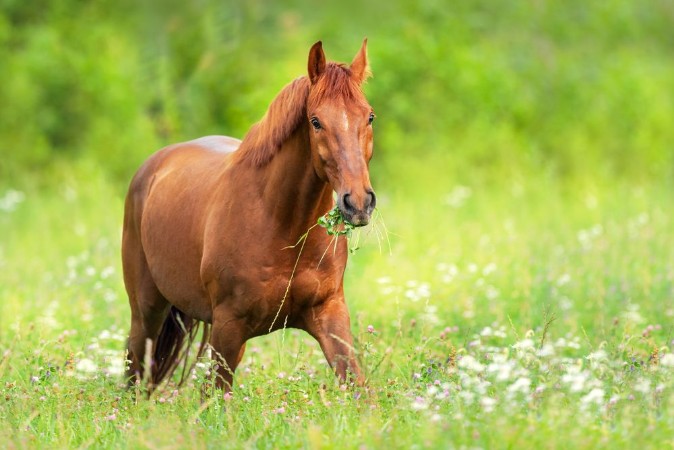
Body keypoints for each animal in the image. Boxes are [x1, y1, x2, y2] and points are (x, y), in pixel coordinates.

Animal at [122, 40, 377, 393]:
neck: (281, 226)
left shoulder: (330, 315)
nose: (358, 203)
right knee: (136, 372)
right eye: (316, 121)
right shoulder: (228, 329)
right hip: (147, 312)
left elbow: (358, 388)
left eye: (369, 117)